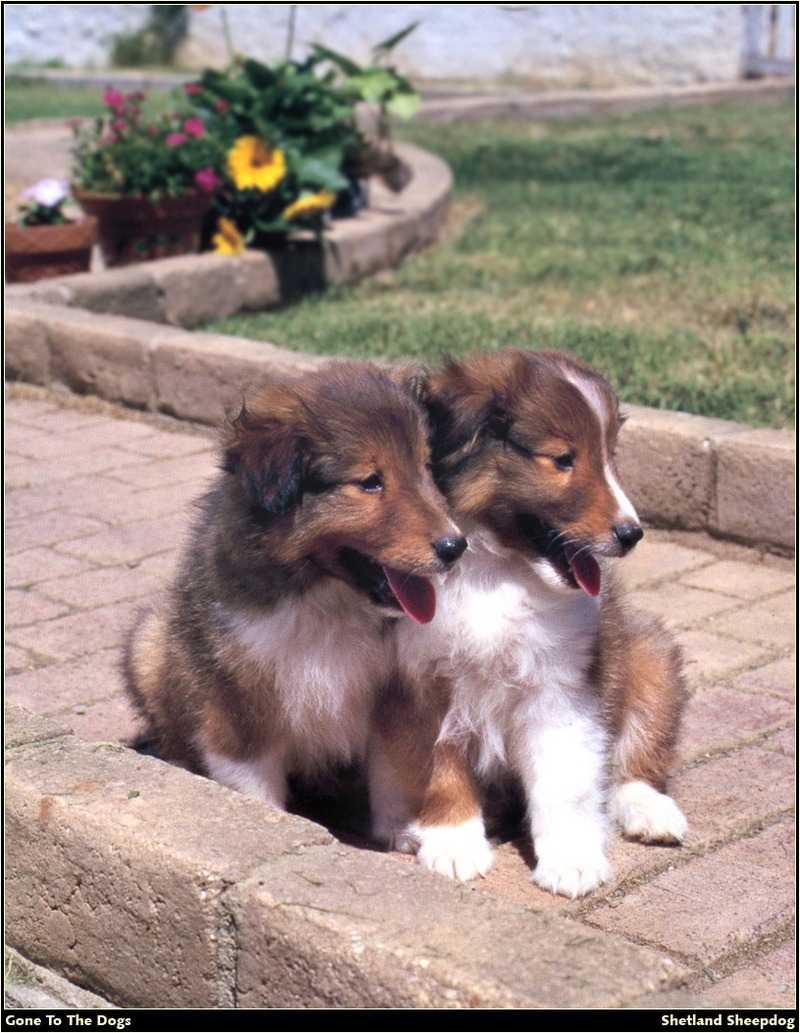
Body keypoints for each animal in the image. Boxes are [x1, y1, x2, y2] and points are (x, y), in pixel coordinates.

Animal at [121, 359, 467, 809]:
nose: (455, 546)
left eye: (425, 468)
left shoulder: (394, 703)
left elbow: (394, 785)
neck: (327, 602)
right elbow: (256, 792)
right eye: (370, 481)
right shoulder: (240, 715)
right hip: (149, 643)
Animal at [372, 349, 690, 896]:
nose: (633, 534)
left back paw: (650, 810)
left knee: (634, 758)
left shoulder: (560, 686)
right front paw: (453, 845)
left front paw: (571, 861)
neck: (493, 568)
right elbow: (441, 770)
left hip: (649, 657)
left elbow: (564, 783)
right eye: (563, 459)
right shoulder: (420, 681)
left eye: (610, 456)